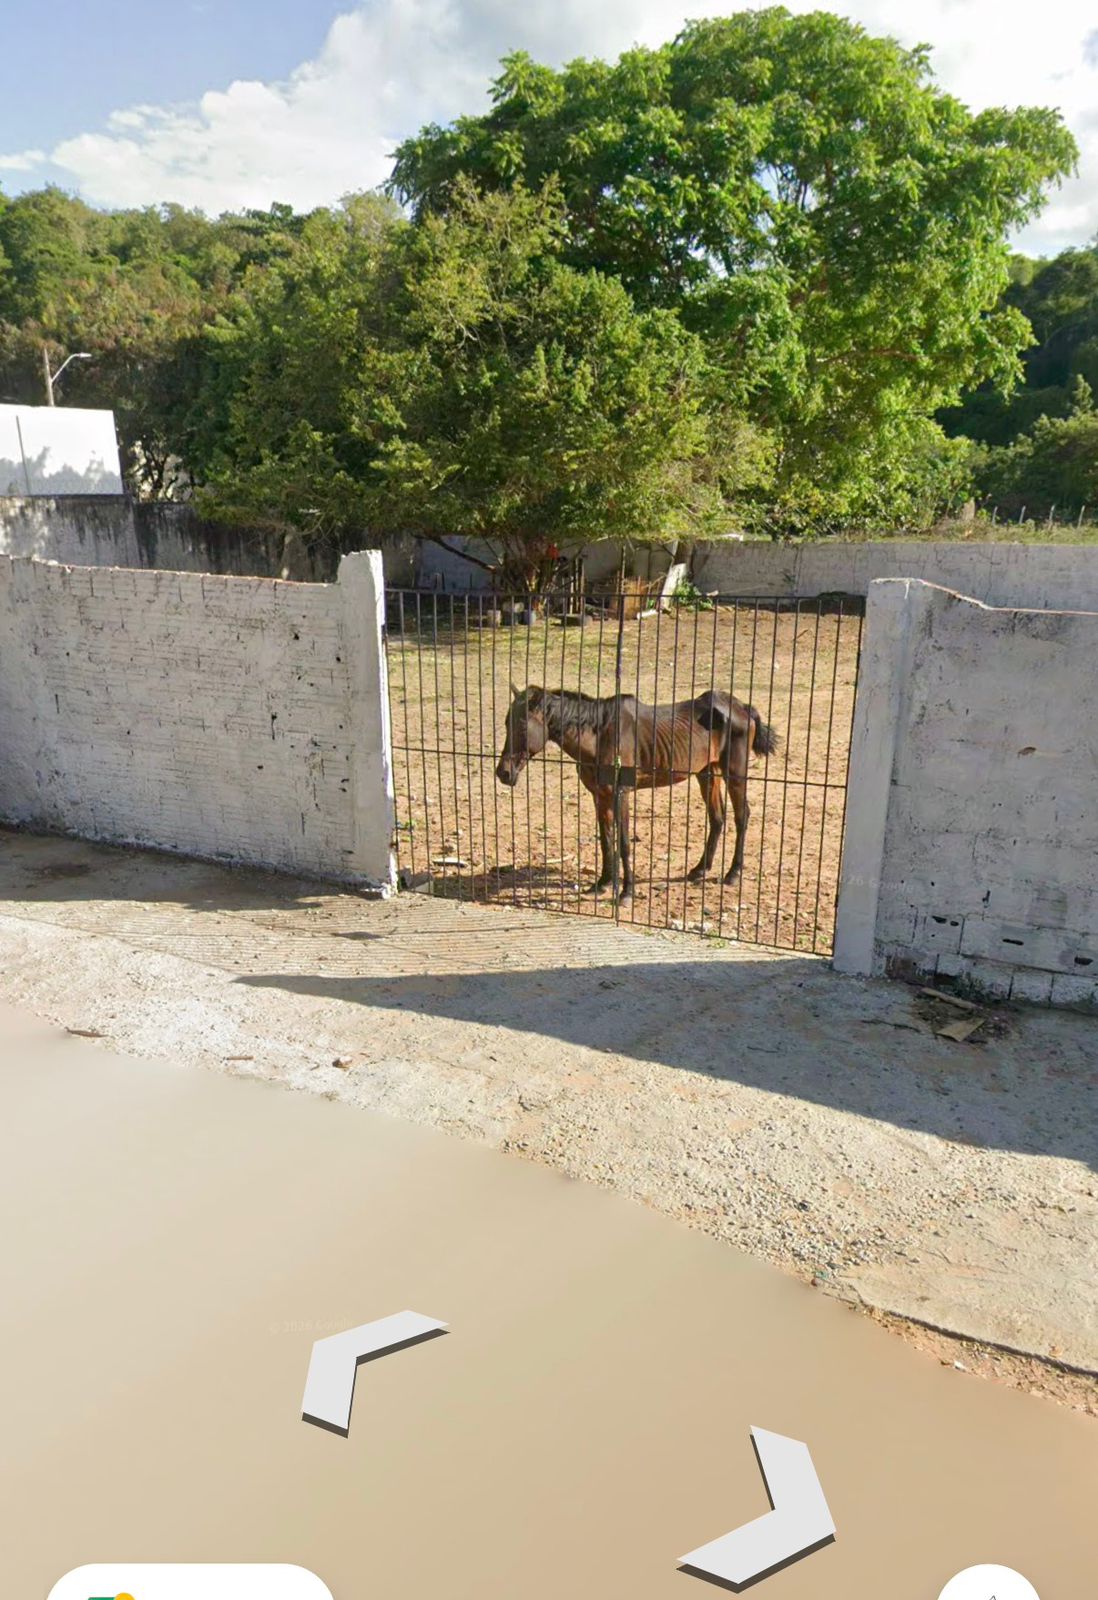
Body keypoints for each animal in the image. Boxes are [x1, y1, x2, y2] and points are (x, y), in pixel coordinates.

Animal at [495, 683, 779, 902]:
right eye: (505, 723)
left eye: (522, 726)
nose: (503, 773)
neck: (600, 736)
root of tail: (742, 707)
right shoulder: (600, 796)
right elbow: (606, 840)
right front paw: (602, 884)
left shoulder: (621, 794)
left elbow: (623, 842)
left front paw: (626, 893)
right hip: (707, 773)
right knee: (718, 818)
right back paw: (699, 870)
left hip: (735, 773)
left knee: (742, 817)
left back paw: (732, 874)